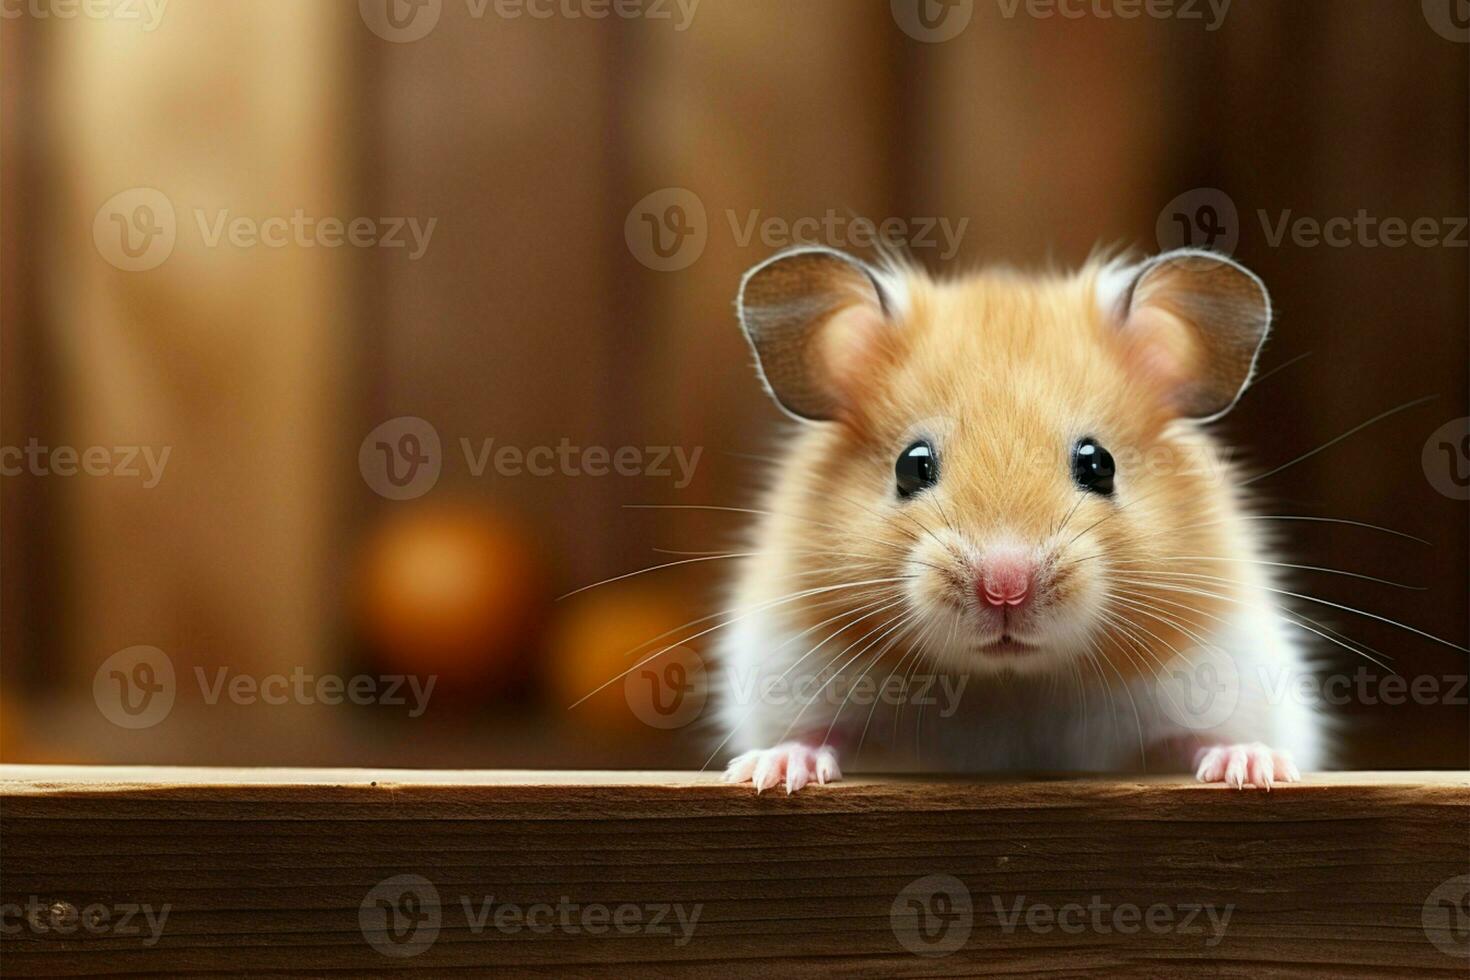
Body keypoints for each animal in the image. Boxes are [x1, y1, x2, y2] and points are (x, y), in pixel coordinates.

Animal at [717, 245, 1328, 799]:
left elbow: (1203, 737)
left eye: (1099, 464)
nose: (1004, 587)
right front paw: (771, 774)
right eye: (910, 465)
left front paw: (1252, 769)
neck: (1009, 683)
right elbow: (817, 733)